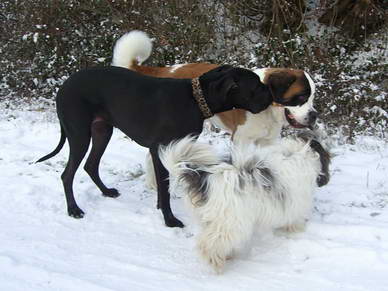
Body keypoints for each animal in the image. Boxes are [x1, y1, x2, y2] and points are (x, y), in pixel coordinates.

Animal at [36, 66, 272, 228]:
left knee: (91, 165)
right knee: (67, 174)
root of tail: (63, 87)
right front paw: (169, 219)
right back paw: (73, 209)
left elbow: (163, 186)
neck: (195, 99)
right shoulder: (161, 150)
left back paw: (106, 191)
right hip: (80, 135)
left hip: (102, 131)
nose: (271, 95)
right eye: (256, 86)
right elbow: (164, 188)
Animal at [112, 30, 318, 188]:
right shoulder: (241, 140)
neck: (268, 107)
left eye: (312, 97)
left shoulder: (269, 141)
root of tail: (164, 70)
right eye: (301, 97)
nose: (314, 115)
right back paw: (153, 183)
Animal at [159, 134, 328, 274]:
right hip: (230, 221)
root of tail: (204, 178)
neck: (297, 152)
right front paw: (295, 230)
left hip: (210, 218)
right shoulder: (296, 202)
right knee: (209, 244)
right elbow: (294, 219)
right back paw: (217, 264)